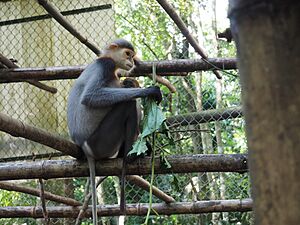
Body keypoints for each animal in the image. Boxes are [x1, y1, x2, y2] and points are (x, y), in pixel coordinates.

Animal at [67, 39, 163, 224]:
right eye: (128, 54)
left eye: (132, 56)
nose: (131, 62)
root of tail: (84, 147)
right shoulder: (106, 64)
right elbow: (90, 97)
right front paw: (149, 91)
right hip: (101, 143)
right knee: (127, 104)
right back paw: (129, 155)